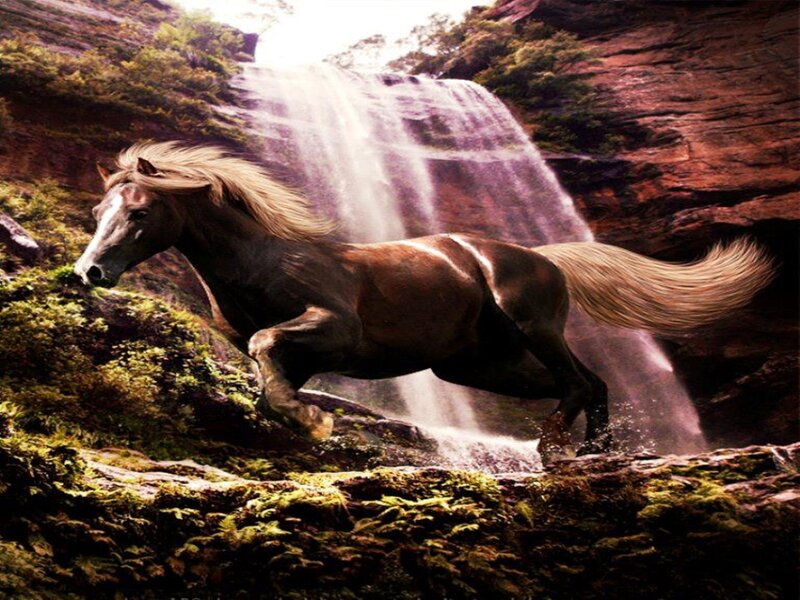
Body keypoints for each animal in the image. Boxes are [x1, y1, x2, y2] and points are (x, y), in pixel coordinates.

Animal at [74, 142, 774, 462]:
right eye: (98, 211)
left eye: (139, 212)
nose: (90, 272)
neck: (261, 260)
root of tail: (548, 255)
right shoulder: (299, 355)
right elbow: (266, 382)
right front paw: (297, 427)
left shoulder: (335, 328)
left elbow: (264, 345)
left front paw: (315, 422)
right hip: (476, 366)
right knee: (591, 382)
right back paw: (596, 452)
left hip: (534, 328)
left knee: (578, 381)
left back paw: (556, 449)